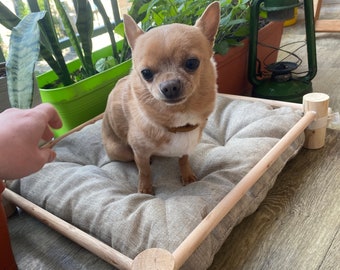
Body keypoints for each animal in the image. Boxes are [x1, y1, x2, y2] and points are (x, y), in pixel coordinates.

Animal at [101, 1, 220, 193]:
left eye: (192, 63)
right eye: (146, 73)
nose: (169, 86)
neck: (179, 120)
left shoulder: (185, 148)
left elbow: (183, 159)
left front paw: (187, 175)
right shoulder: (140, 152)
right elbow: (144, 170)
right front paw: (145, 189)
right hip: (119, 151)